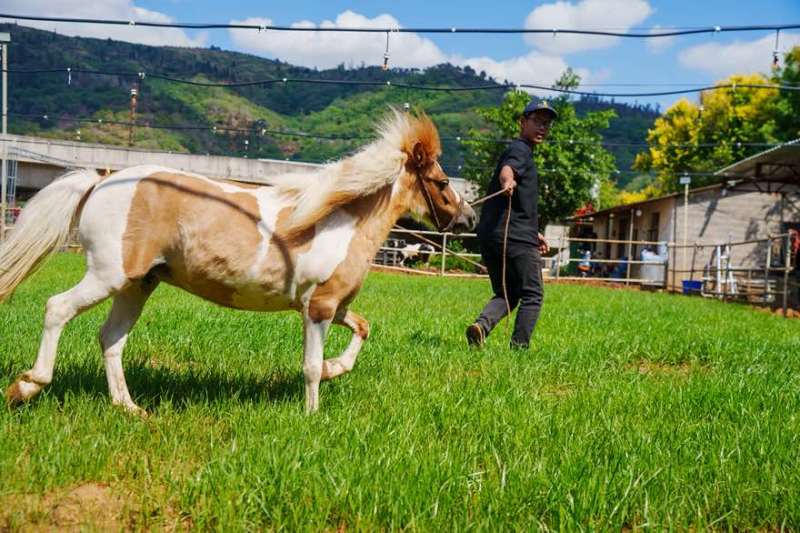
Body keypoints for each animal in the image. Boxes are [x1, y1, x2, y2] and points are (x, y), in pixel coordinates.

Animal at [0, 110, 477, 413]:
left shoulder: (330, 306)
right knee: (58, 308)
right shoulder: (319, 310)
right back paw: (27, 386)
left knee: (111, 339)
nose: (469, 218)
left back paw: (130, 408)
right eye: (441, 182)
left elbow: (363, 328)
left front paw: (334, 369)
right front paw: (313, 413)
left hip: (138, 284)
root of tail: (102, 180)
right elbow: (308, 367)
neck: (339, 221)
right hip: (107, 274)